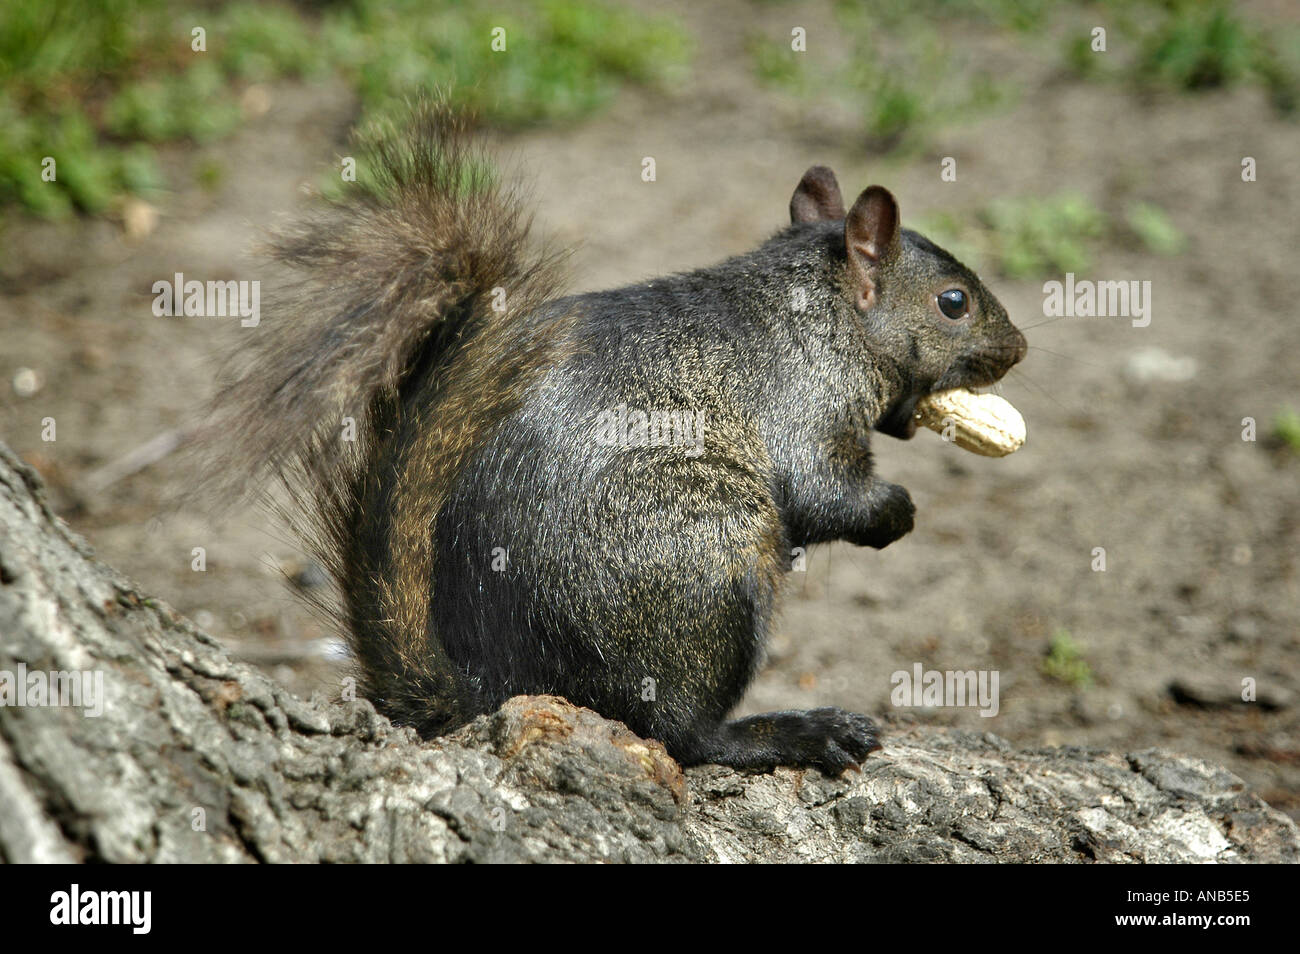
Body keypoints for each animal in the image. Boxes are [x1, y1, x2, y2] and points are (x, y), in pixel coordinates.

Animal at [205, 98, 1024, 779]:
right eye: (953, 302)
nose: (1017, 349)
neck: (821, 307)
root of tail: (494, 689)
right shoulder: (806, 401)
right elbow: (825, 493)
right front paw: (895, 510)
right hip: (708, 564)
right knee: (678, 733)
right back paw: (791, 733)